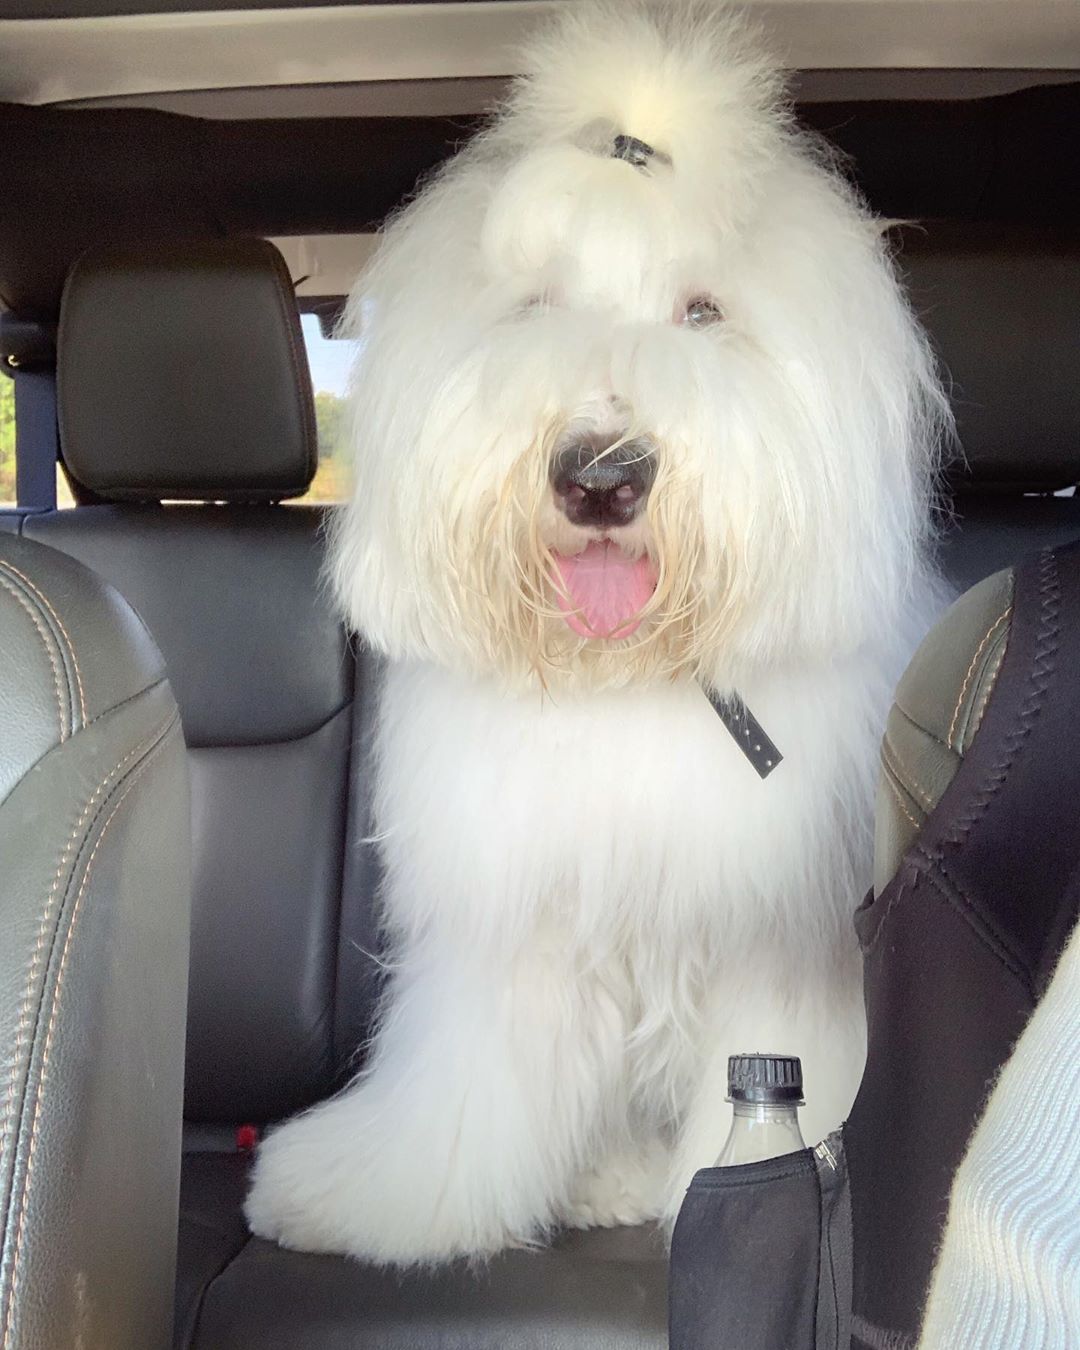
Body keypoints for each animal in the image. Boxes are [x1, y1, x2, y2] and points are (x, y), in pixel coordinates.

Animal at [247, 0, 945, 1263]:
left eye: (704, 312)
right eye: (537, 307)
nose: (604, 475)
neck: (628, 680)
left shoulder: (780, 943)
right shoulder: (516, 922)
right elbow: (466, 1086)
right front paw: (372, 1196)